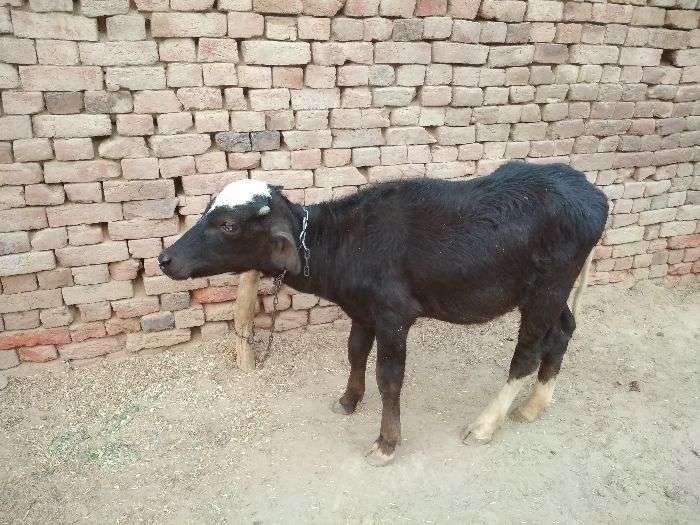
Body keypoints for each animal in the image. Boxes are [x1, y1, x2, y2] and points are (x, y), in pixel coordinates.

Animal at [158, 161, 609, 466]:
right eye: (207, 211)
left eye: (229, 225)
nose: (165, 259)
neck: (345, 242)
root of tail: (590, 190)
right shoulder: (362, 311)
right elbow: (356, 353)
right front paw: (348, 400)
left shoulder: (394, 317)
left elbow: (389, 378)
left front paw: (386, 442)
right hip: (553, 293)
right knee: (563, 331)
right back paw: (537, 404)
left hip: (545, 291)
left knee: (527, 354)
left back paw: (486, 423)